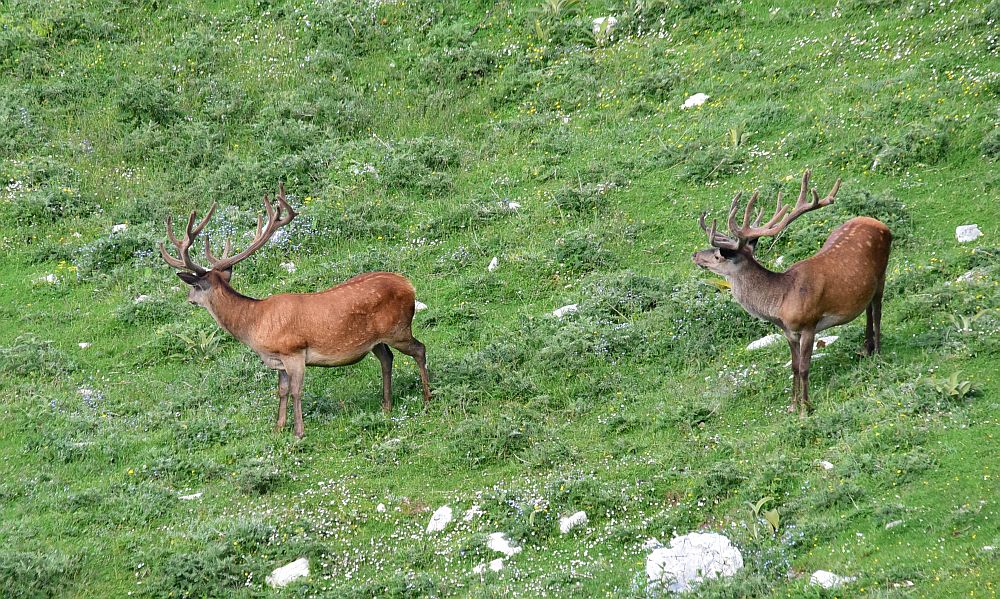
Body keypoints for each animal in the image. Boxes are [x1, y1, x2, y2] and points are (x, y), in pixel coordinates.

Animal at [158, 182, 432, 436]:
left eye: (194, 286)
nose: (189, 299)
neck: (254, 324)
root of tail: (409, 285)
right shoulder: (278, 359)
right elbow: (282, 391)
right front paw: (278, 427)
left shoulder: (294, 351)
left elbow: (297, 391)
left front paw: (299, 432)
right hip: (376, 340)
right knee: (387, 358)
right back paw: (386, 405)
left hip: (398, 327)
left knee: (420, 348)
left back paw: (427, 398)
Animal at [692, 170, 896, 418]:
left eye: (718, 255)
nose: (695, 255)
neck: (781, 300)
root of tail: (881, 224)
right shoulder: (788, 332)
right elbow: (795, 366)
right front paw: (792, 405)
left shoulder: (810, 324)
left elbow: (806, 367)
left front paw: (806, 408)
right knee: (867, 308)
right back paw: (865, 349)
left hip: (882, 274)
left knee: (877, 311)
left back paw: (877, 353)